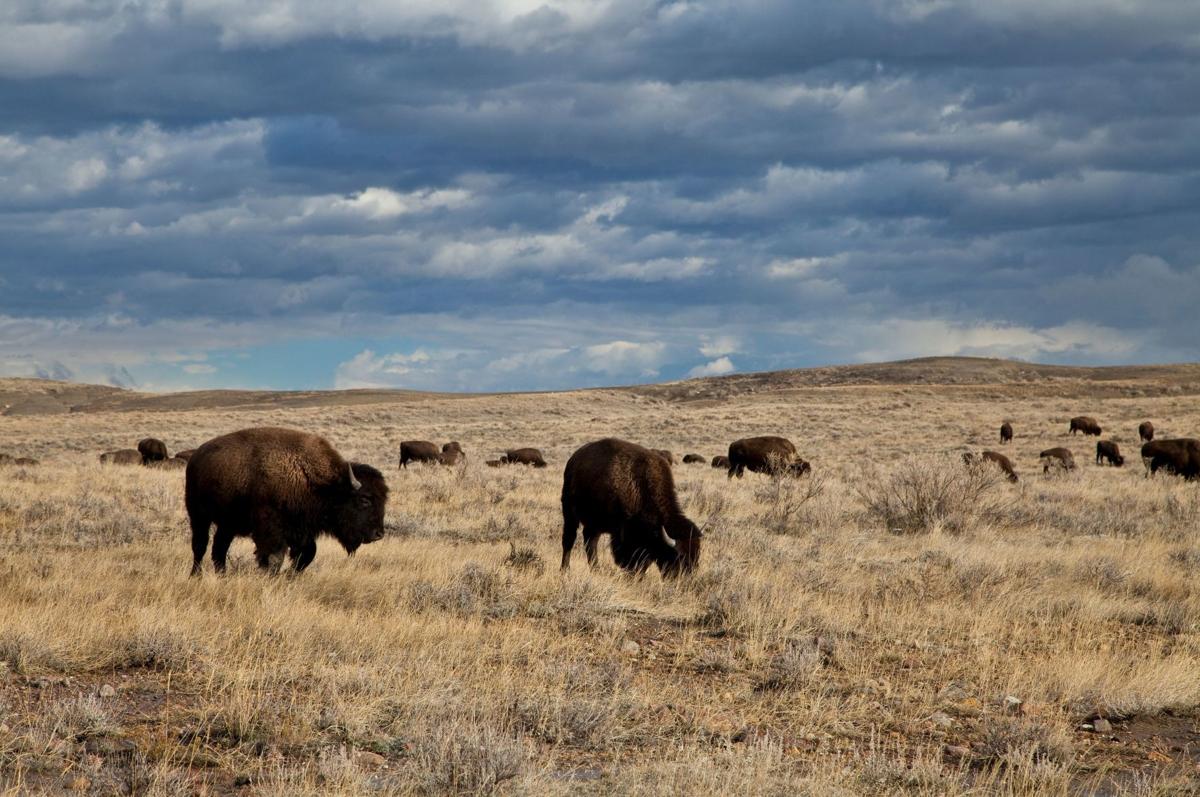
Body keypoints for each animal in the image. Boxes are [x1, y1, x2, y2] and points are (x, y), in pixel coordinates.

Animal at [186, 427, 388, 575]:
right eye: (364, 499)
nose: (379, 534)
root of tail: (196, 456)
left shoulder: (302, 531)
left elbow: (308, 554)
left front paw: (290, 576)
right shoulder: (271, 530)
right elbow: (274, 557)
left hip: (228, 523)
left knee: (219, 547)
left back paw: (222, 575)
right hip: (198, 515)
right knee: (200, 545)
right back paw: (196, 575)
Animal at [561, 438, 701, 577]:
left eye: (697, 555)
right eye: (679, 556)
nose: (687, 577)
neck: (642, 486)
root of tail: (573, 459)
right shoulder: (623, 532)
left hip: (595, 522)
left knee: (590, 541)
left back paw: (596, 569)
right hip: (570, 513)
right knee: (569, 539)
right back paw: (565, 569)